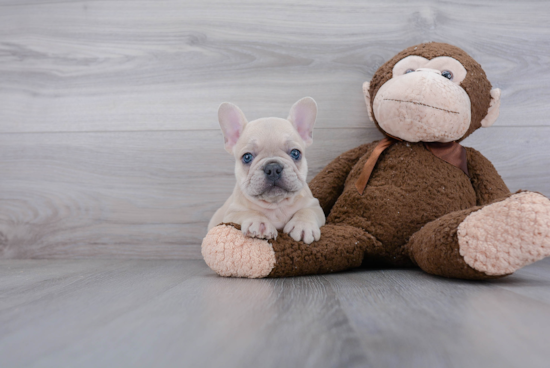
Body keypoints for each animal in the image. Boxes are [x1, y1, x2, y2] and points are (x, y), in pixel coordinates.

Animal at [209, 97, 326, 244]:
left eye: (295, 153)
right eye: (247, 157)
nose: (273, 168)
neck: (276, 206)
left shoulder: (315, 205)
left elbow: (307, 211)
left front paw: (303, 225)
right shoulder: (230, 214)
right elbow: (247, 212)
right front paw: (259, 223)